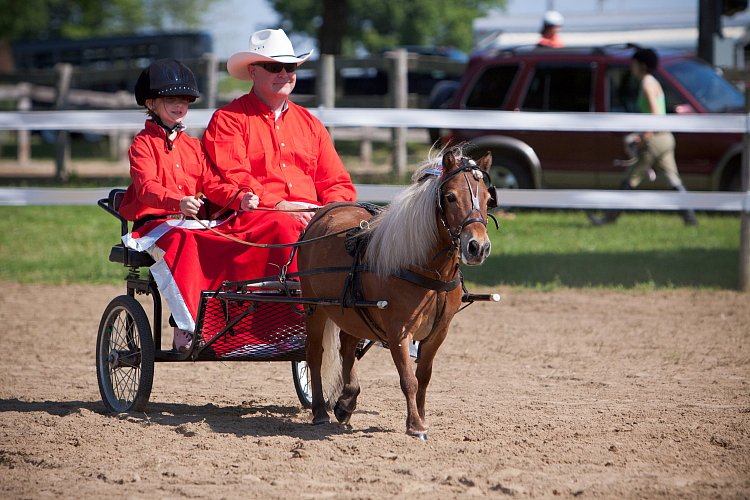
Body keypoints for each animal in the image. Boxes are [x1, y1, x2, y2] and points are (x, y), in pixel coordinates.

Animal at [296, 147, 496, 438]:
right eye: (450, 197)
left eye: (488, 198)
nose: (477, 247)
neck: (428, 271)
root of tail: (322, 214)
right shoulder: (399, 331)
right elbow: (408, 379)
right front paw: (415, 425)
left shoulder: (438, 333)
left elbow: (423, 376)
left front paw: (421, 417)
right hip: (315, 306)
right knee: (314, 354)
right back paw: (321, 411)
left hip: (353, 311)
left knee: (347, 345)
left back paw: (346, 401)